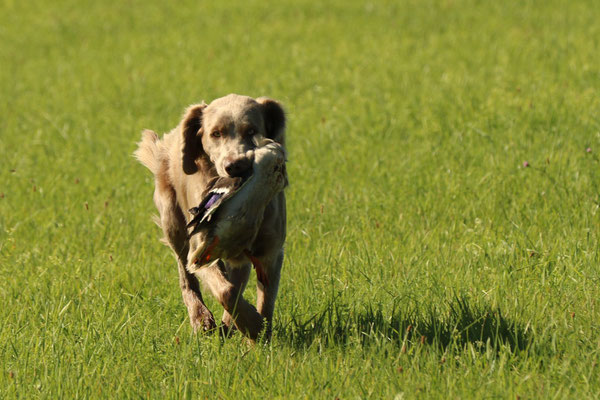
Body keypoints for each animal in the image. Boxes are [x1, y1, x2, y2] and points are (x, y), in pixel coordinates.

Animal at [135, 94, 288, 340]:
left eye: (251, 130)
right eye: (216, 133)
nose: (235, 166)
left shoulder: (271, 252)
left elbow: (265, 300)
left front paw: (259, 331)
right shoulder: (200, 248)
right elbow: (226, 290)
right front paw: (253, 326)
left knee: (238, 275)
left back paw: (229, 322)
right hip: (174, 225)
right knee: (187, 276)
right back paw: (201, 318)